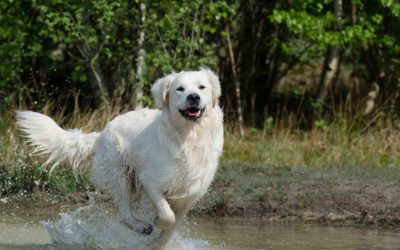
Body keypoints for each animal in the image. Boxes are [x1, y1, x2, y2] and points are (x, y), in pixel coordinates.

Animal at [17, 68, 223, 248]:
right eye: (180, 89)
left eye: (202, 87)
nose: (193, 97)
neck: (189, 138)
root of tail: (101, 134)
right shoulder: (150, 182)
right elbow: (167, 216)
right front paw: (156, 222)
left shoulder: (190, 195)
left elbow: (171, 227)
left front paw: (157, 244)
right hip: (120, 175)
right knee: (124, 214)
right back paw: (141, 226)